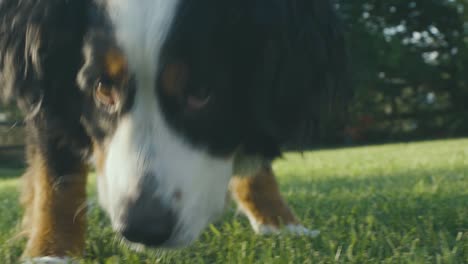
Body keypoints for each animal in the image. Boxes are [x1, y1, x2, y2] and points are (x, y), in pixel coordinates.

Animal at [0, 0, 348, 260]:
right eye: (102, 89)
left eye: (201, 91)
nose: (143, 228)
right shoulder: (45, 87)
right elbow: (57, 179)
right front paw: (51, 252)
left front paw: (280, 222)